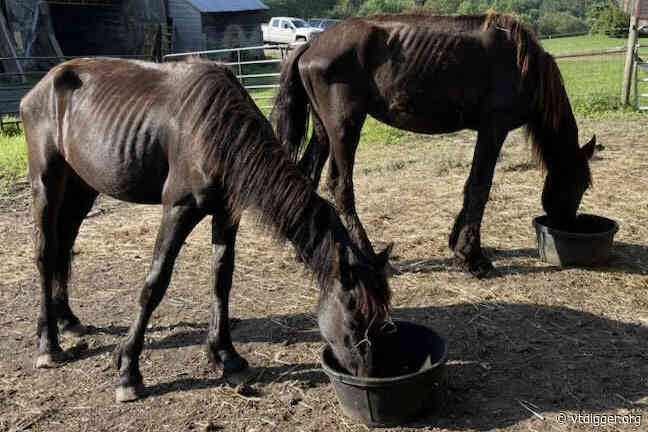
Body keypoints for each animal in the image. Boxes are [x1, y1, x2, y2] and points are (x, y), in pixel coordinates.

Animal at [21, 56, 390, 402]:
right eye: (354, 320)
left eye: (381, 319)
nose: (368, 376)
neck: (215, 130)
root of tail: (42, 86)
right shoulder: (179, 210)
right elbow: (155, 283)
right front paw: (128, 371)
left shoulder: (226, 214)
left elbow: (221, 279)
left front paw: (226, 355)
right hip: (46, 181)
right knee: (45, 253)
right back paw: (48, 345)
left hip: (82, 186)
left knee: (64, 244)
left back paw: (67, 319)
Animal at [270, 12, 596, 280]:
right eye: (579, 185)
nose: (567, 224)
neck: (520, 61)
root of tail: (311, 46)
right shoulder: (494, 128)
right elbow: (480, 186)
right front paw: (473, 258)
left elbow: (471, 186)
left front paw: (458, 244)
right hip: (343, 129)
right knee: (341, 187)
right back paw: (370, 257)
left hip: (323, 131)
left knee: (307, 176)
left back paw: (305, 252)